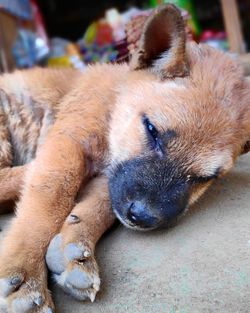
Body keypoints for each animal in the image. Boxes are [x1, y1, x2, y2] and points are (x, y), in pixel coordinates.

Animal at [0, 4, 250, 312]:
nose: (142, 217)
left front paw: (75, 246)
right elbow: (50, 198)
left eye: (207, 178)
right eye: (152, 130)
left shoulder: (116, 177)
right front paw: (25, 273)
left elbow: (103, 205)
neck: (115, 99)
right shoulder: (69, 142)